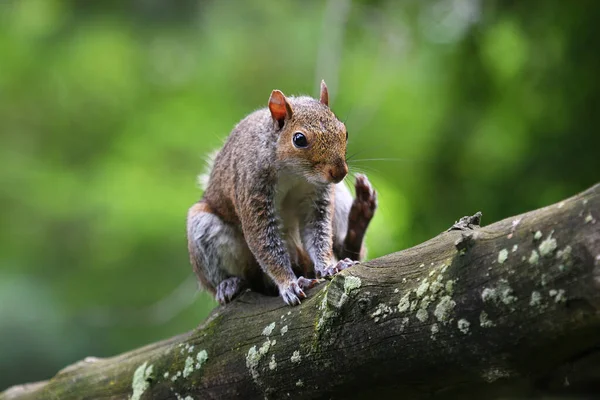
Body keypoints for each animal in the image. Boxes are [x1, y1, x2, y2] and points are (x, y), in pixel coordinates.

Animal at [185, 82, 378, 306]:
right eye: (299, 139)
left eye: (344, 132)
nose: (339, 172)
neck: (294, 173)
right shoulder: (253, 191)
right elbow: (266, 244)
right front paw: (289, 284)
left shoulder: (317, 198)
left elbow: (318, 234)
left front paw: (329, 265)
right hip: (203, 227)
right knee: (241, 279)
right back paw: (229, 284)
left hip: (338, 196)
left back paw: (359, 219)